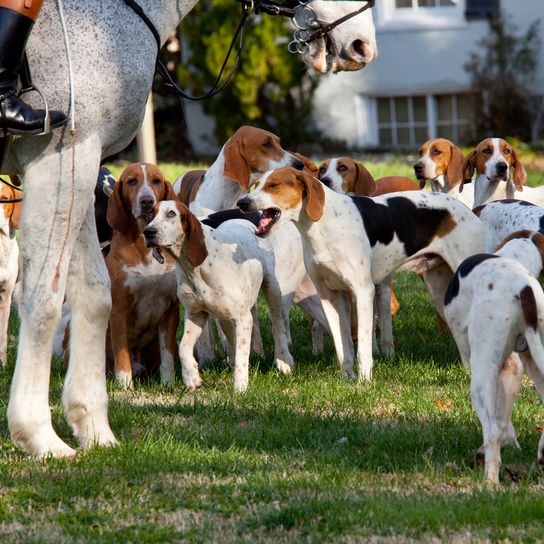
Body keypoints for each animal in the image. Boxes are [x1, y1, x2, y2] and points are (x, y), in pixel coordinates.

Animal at [0, 1, 376, 460]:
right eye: (266, 144)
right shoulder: (60, 155)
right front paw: (39, 433)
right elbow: (44, 299)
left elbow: (94, 296)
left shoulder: (80, 162)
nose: (361, 44)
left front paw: (92, 426)